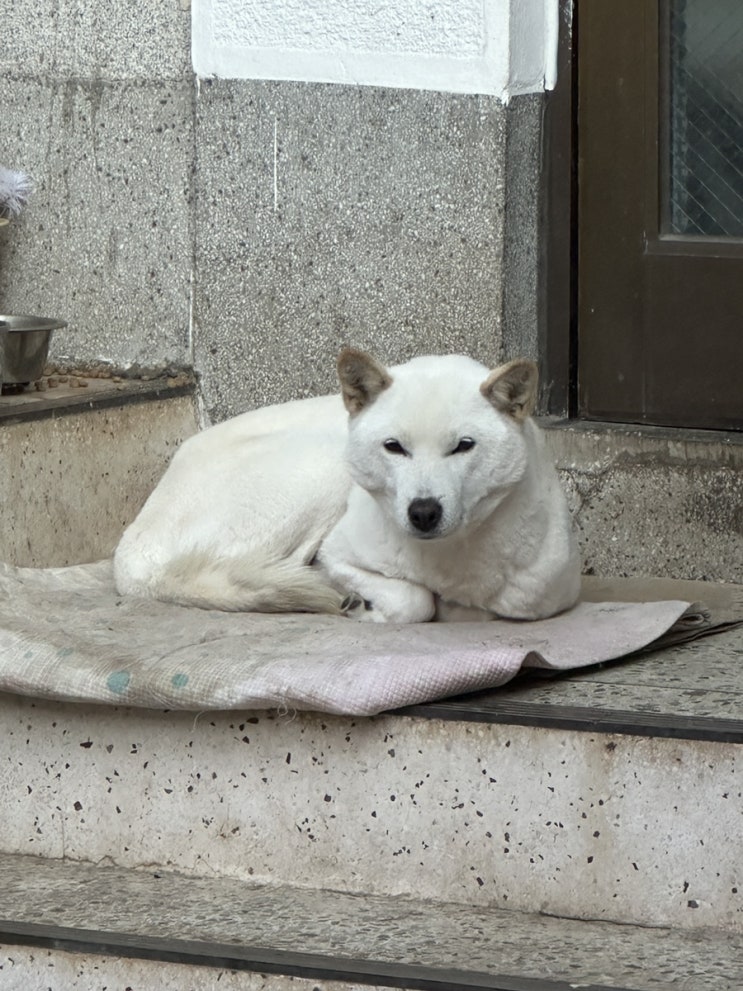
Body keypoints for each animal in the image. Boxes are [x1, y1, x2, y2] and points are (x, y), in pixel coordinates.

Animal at [114, 349, 580, 622]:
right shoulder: (339, 550)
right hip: (323, 470)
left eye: (463, 446)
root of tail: (131, 556)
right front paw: (371, 607)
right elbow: (413, 602)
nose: (423, 512)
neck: (447, 559)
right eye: (394, 447)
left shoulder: (540, 595)